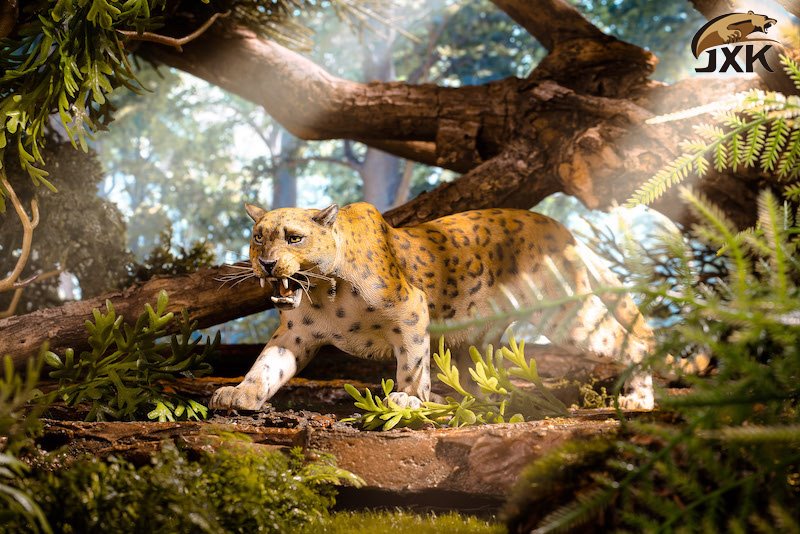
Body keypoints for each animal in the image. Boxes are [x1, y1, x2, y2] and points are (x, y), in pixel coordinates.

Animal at [209, 202, 656, 412]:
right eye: (258, 236)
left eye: (294, 238)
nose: (267, 264)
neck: (323, 290)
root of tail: (559, 227)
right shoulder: (295, 334)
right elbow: (267, 365)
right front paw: (240, 394)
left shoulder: (412, 309)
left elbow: (412, 360)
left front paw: (408, 399)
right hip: (481, 334)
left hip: (567, 313)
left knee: (633, 341)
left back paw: (638, 400)